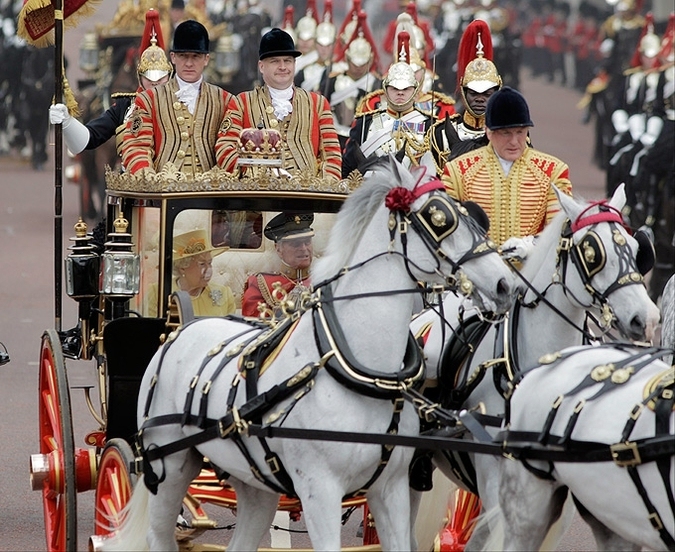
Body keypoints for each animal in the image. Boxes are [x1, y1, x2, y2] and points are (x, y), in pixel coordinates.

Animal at [99, 160, 512, 552]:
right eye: (438, 218)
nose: (504, 283)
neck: (356, 370)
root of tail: (178, 330)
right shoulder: (320, 490)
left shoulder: (390, 487)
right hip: (168, 464)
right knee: (157, 534)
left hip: (253, 480)